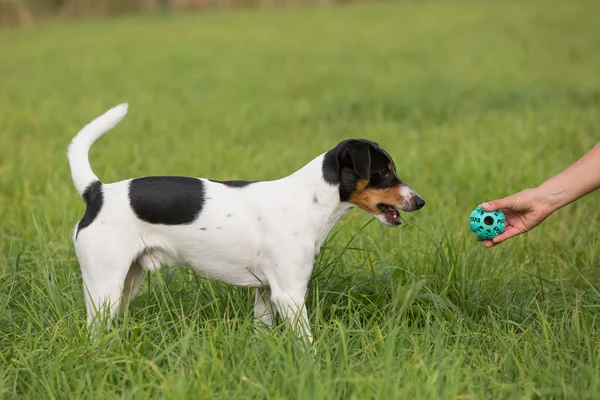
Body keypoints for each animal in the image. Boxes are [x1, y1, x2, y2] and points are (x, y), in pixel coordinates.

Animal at [68, 103, 424, 340]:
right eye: (385, 172)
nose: (420, 201)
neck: (308, 201)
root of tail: (97, 191)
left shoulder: (266, 292)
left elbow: (262, 332)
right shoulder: (289, 293)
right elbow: (306, 342)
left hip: (127, 283)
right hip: (105, 287)